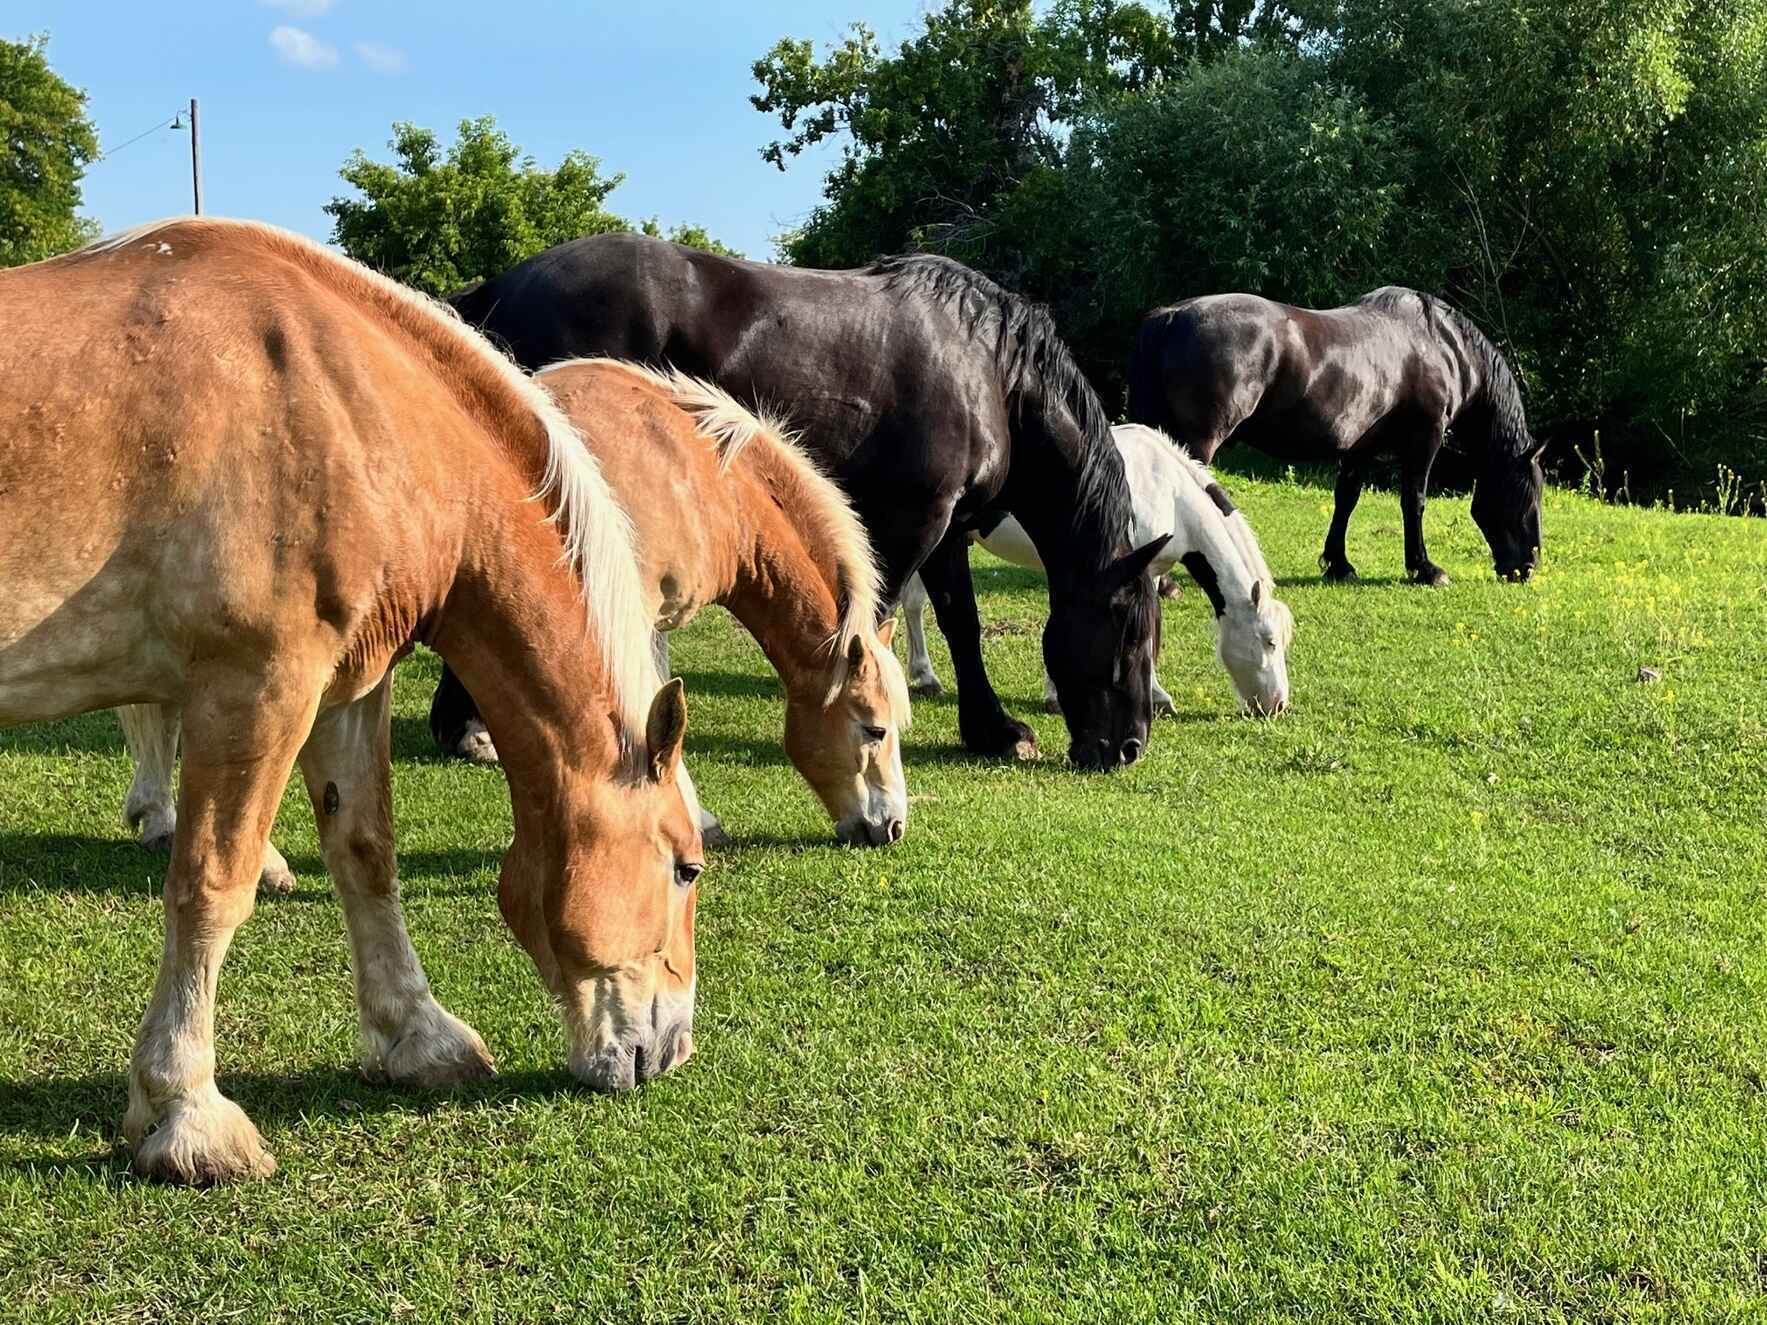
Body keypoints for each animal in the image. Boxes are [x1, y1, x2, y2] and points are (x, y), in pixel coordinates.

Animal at [0, 219, 702, 1184]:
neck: (339, 400)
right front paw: (187, 1113)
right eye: (686, 866)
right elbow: (211, 884)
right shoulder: (257, 683)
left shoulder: (347, 687)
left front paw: (420, 1036)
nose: (671, 1050)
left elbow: (365, 853)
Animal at [434, 235, 1169, 771]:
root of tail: (500, 286)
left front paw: (991, 729)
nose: (1127, 747)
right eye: (1129, 630)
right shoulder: (916, 519)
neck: (988, 369)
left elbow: (961, 623)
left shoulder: (949, 528)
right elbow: (877, 617)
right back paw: (469, 725)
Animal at [1128, 287, 1545, 585]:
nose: (1527, 566)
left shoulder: (1361, 445)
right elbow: (1414, 500)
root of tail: (1169, 317)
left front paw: (1339, 564)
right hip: (1198, 442)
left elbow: (1346, 498)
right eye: (1528, 497)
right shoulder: (1424, 438)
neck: (1440, 345)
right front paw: (1425, 569)